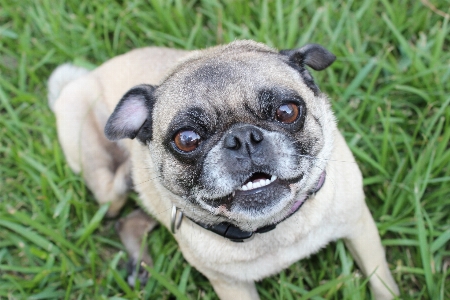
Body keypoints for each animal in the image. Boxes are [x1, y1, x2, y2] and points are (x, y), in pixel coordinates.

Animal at [49, 39, 400, 298]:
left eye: (287, 111)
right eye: (187, 139)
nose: (242, 138)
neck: (273, 228)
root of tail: (84, 78)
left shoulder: (360, 229)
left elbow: (382, 283)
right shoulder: (232, 286)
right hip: (104, 188)